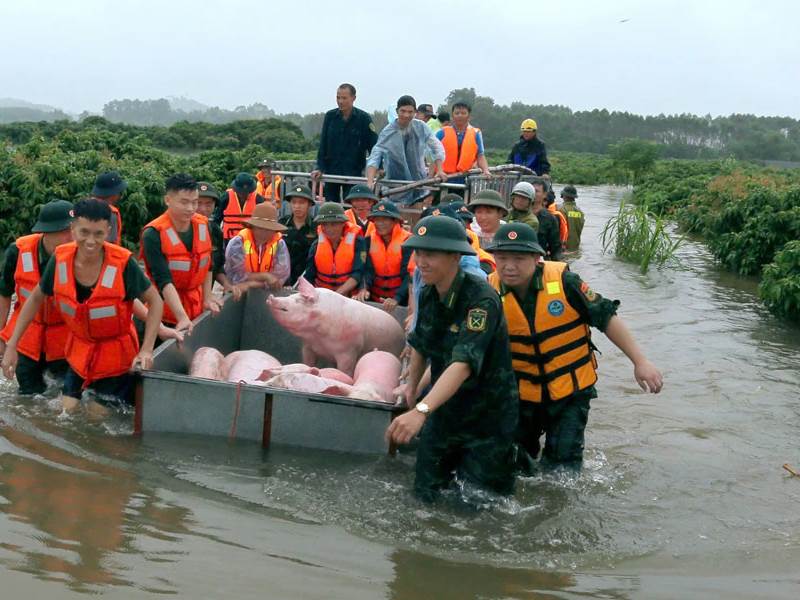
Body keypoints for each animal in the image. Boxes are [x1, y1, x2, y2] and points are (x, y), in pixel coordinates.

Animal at [268, 278, 406, 376]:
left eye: (298, 300)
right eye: (290, 296)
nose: (271, 297)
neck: (317, 336)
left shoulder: (349, 351)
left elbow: (346, 371)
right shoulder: (308, 346)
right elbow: (307, 362)